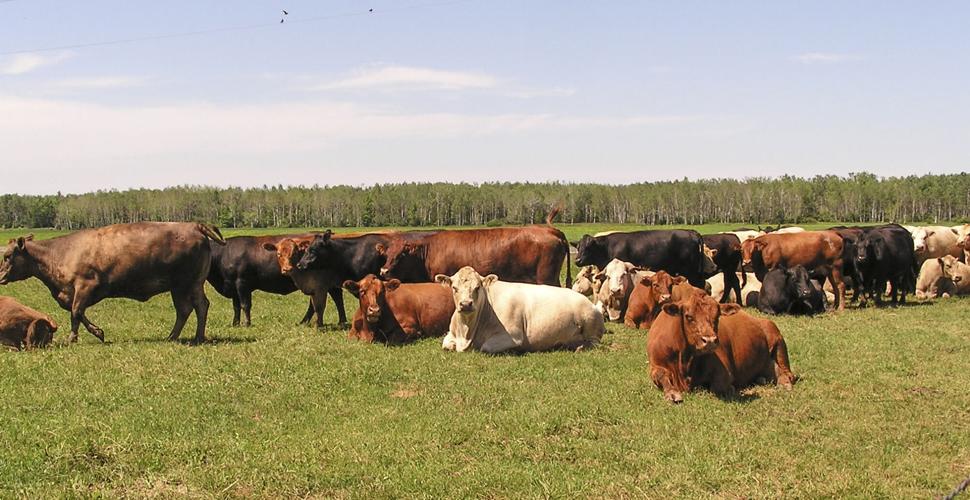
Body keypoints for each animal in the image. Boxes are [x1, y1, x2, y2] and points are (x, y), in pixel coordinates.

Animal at [0, 223, 224, 344]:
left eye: (7, 256)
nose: (0, 276)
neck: (61, 253)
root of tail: (193, 225)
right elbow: (77, 313)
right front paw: (95, 333)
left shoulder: (85, 286)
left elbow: (76, 313)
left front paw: (76, 337)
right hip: (182, 287)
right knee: (188, 309)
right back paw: (176, 336)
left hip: (188, 284)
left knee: (197, 307)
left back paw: (195, 337)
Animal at [208, 234, 343, 327]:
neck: (224, 254)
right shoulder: (233, 286)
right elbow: (236, 307)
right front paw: (235, 323)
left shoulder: (242, 283)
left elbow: (245, 305)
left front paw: (247, 323)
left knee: (336, 298)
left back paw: (340, 321)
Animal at [435, 267, 604, 353]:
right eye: (454, 288)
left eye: (477, 287)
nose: (465, 304)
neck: (466, 332)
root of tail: (593, 304)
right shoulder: (451, 335)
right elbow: (446, 344)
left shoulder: (513, 336)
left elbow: (485, 347)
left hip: (591, 327)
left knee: (593, 343)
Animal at [575, 229, 708, 287]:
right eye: (578, 247)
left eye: (588, 247)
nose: (577, 260)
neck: (607, 248)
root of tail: (691, 232)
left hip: (691, 271)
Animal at [647, 287, 794, 403]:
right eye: (688, 317)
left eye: (717, 316)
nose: (710, 340)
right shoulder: (655, 365)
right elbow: (661, 375)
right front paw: (672, 393)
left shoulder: (724, 371)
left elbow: (719, 386)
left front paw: (731, 388)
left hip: (776, 336)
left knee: (786, 372)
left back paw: (784, 383)